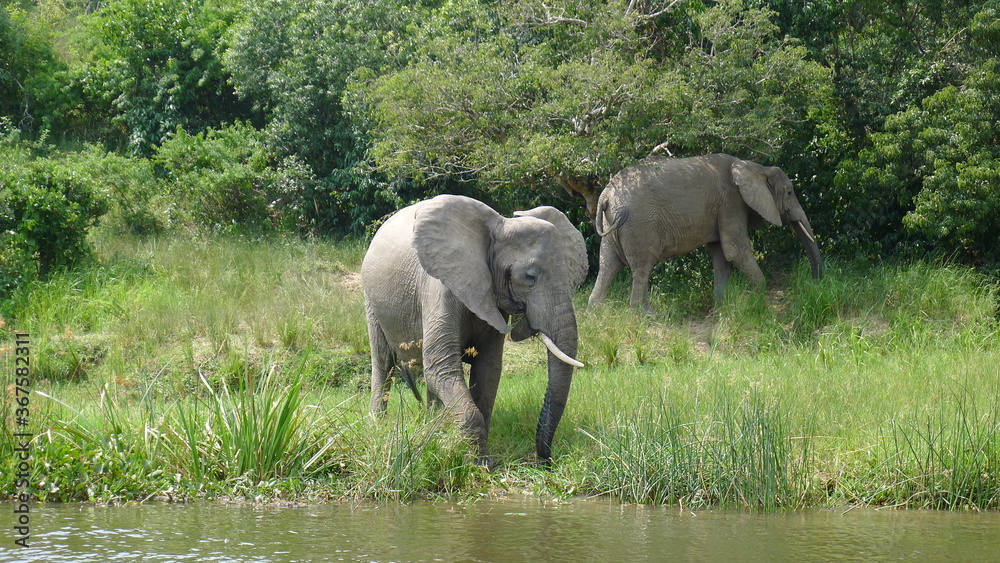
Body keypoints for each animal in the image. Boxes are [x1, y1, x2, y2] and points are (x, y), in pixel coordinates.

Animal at [361, 194, 588, 466]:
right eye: (529, 277)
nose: (545, 462)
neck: (498, 228)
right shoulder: (440, 287)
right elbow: (441, 365)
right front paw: (479, 465)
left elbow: (487, 370)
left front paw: (480, 458)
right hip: (371, 298)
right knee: (383, 362)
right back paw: (377, 425)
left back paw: (433, 428)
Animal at [588, 153, 823, 310]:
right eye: (790, 192)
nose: (815, 282)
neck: (755, 167)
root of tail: (605, 196)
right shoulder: (731, 202)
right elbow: (735, 250)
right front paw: (758, 298)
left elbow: (721, 255)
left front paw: (721, 307)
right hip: (639, 224)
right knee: (641, 267)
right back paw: (643, 315)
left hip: (614, 224)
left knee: (608, 266)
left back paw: (595, 312)